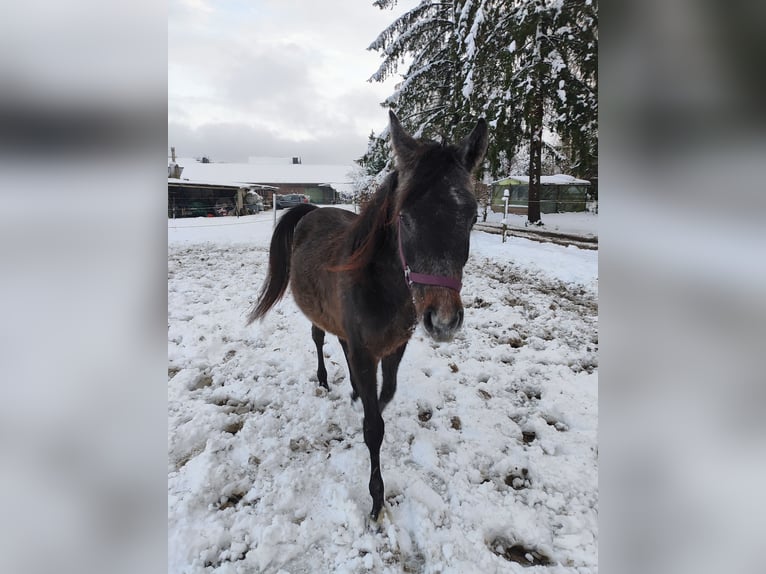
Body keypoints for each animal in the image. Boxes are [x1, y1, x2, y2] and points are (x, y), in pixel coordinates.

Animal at [249, 112, 488, 520]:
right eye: (404, 217)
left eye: (472, 217)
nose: (443, 321)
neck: (382, 288)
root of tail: (313, 210)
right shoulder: (365, 351)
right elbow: (374, 427)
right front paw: (376, 499)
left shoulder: (393, 347)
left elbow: (385, 394)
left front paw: (363, 397)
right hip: (319, 318)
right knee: (319, 340)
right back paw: (325, 380)